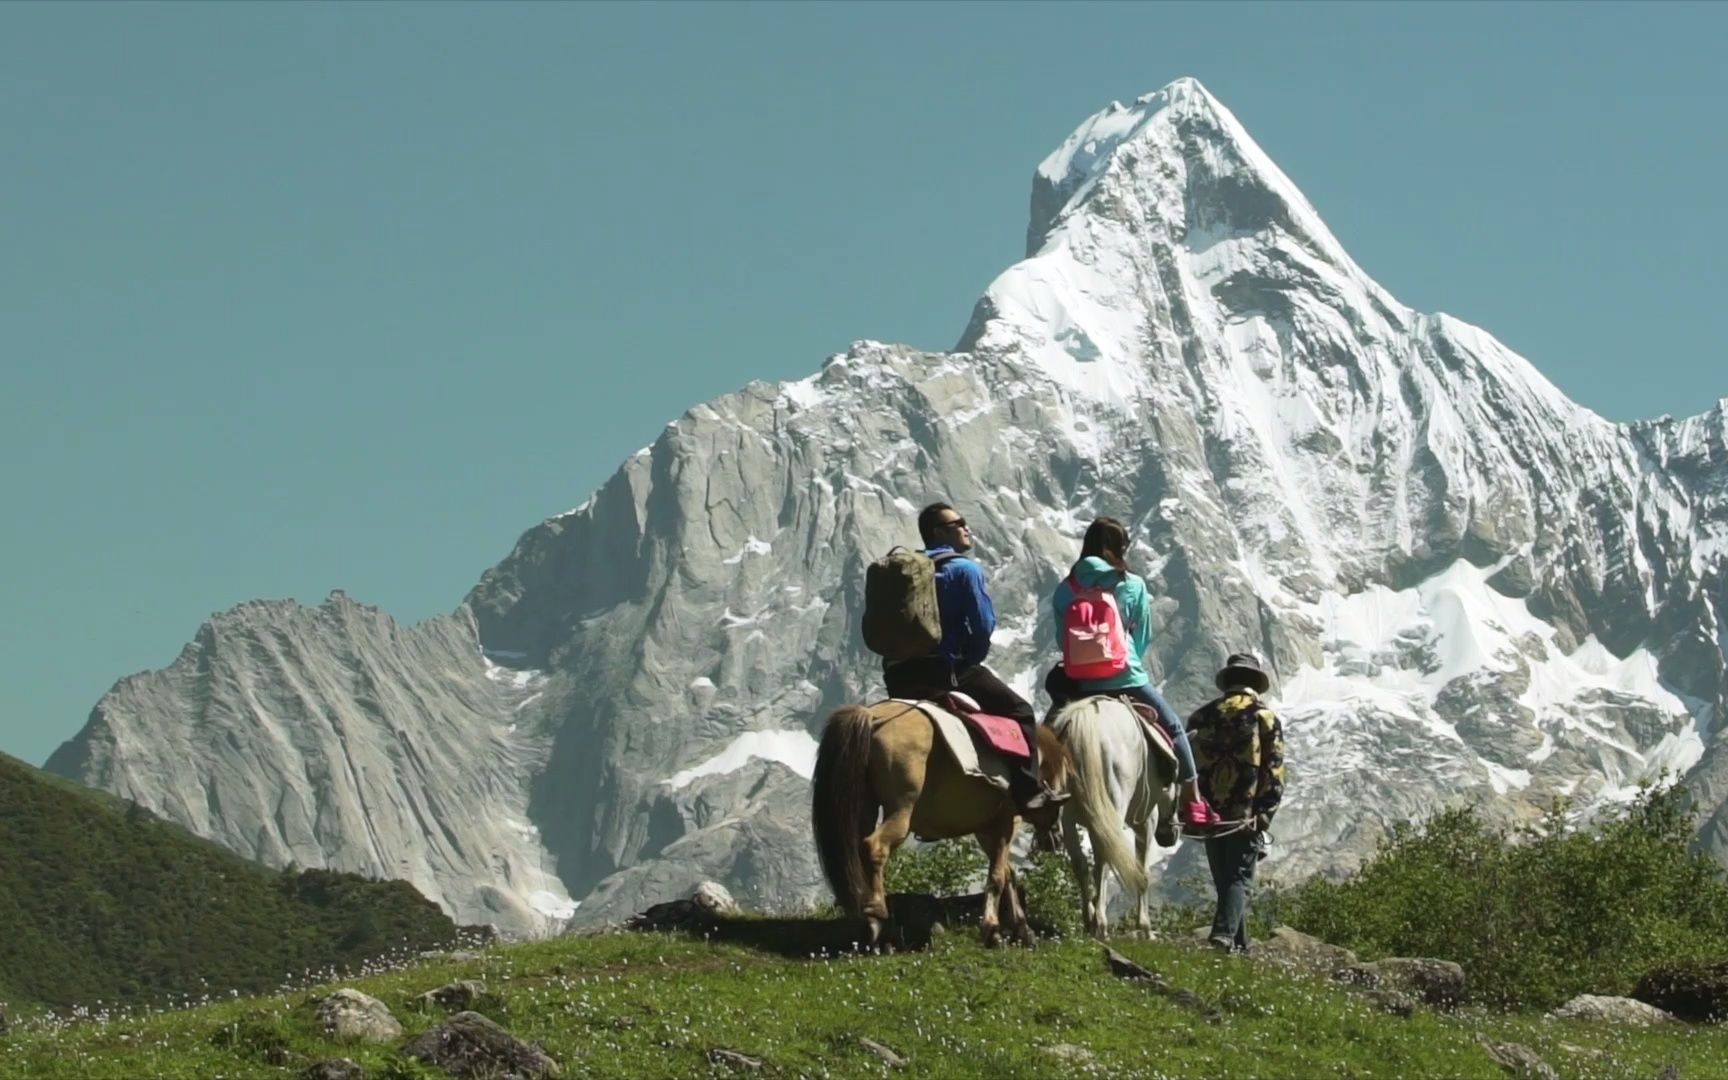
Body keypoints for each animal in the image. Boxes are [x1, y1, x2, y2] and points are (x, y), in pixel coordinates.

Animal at [812, 698, 1092, 940]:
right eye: (1064, 776)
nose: (1053, 840)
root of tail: (872, 717)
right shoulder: (1006, 822)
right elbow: (997, 876)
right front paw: (992, 930)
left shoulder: (985, 829)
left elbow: (1006, 872)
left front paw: (1023, 929)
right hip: (901, 810)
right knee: (875, 846)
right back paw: (876, 916)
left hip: (866, 807)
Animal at [1043, 694, 1181, 933]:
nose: (1170, 836)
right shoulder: (1147, 821)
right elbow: (1142, 872)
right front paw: (1145, 927)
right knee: (1104, 860)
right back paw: (1101, 922)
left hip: (1068, 815)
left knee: (1081, 863)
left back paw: (1090, 918)